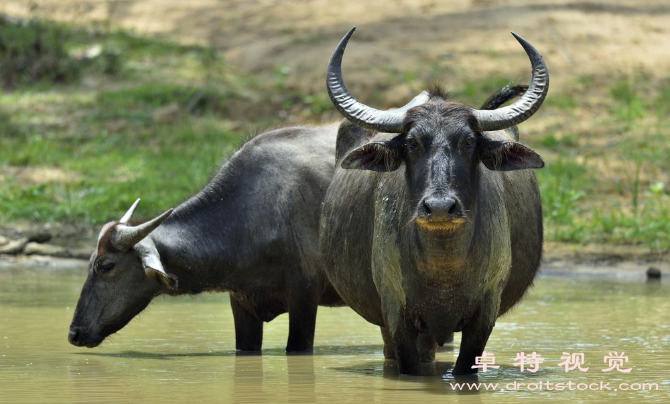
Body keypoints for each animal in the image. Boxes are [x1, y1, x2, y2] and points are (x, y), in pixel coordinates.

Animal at [322, 28, 552, 376]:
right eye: (412, 143)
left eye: (468, 142)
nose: (440, 207)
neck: (443, 263)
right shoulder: (395, 312)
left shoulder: (485, 314)